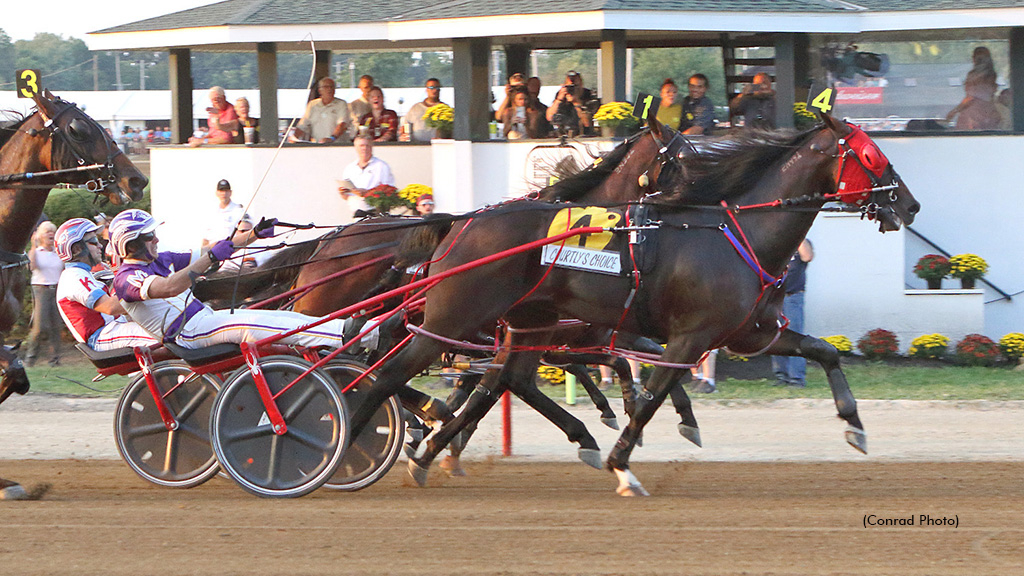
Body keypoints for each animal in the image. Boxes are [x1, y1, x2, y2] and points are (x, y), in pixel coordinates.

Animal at [350, 112, 921, 494]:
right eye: (872, 155)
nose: (909, 203)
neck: (737, 234)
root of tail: (460, 223)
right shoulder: (688, 336)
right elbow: (650, 396)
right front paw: (624, 463)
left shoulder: (749, 331)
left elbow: (825, 351)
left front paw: (854, 426)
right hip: (452, 318)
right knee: (388, 374)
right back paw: (351, 444)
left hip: (529, 324)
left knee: (501, 380)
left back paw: (429, 453)